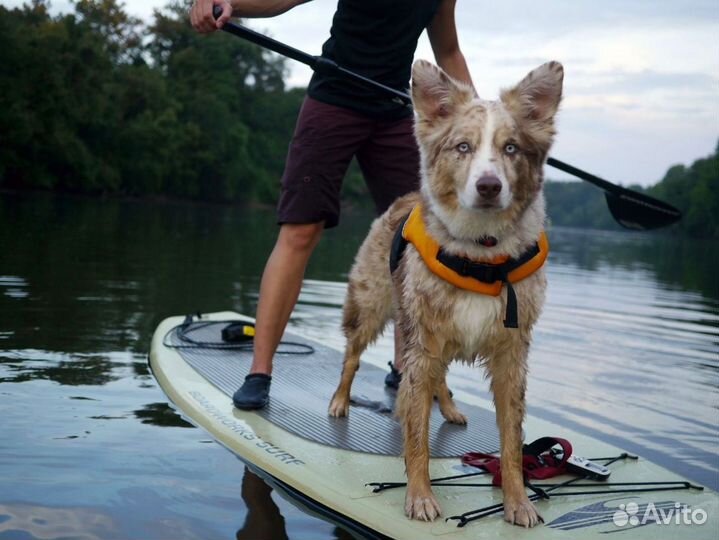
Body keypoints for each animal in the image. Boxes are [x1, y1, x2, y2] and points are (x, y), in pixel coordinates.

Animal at [330, 60, 564, 528]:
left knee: (439, 380)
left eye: (511, 148)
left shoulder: (511, 354)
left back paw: (453, 410)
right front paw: (419, 498)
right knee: (352, 356)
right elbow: (416, 435)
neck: (481, 253)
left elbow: (511, 443)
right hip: (371, 306)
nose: (489, 185)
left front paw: (518, 503)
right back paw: (340, 401)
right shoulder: (422, 342)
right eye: (463, 147)